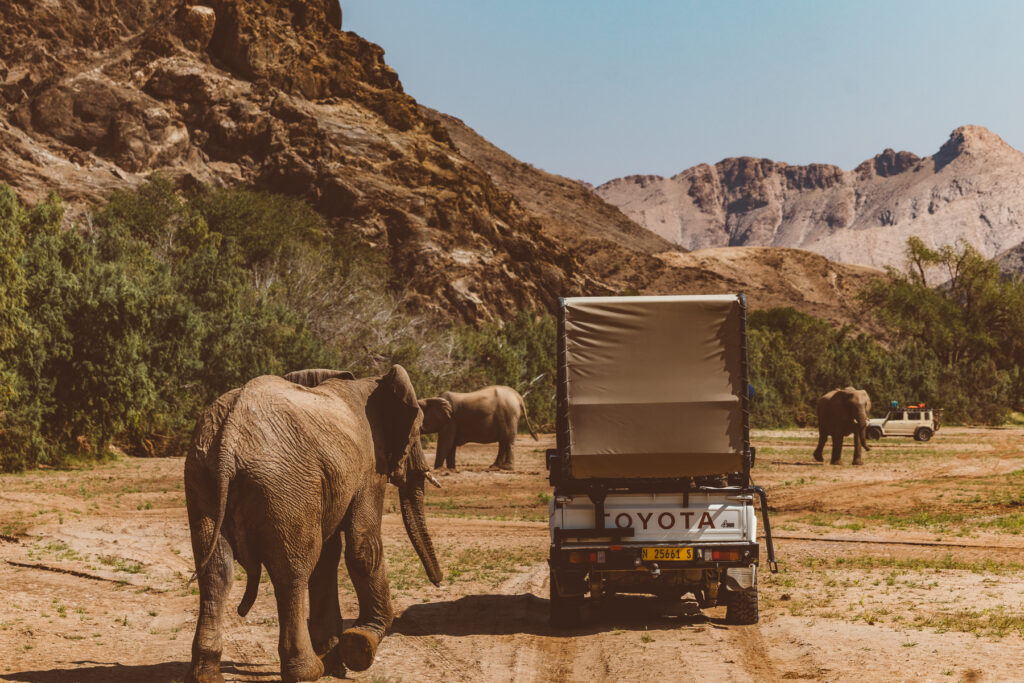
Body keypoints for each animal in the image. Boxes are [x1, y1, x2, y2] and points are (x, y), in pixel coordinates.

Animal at [184, 366, 443, 683]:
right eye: (417, 430)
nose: (438, 581)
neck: (370, 382)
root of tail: (227, 440)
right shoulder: (370, 465)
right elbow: (363, 545)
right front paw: (359, 646)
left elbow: (329, 556)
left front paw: (337, 661)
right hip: (283, 484)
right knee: (292, 571)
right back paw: (307, 671)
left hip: (202, 478)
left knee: (216, 572)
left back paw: (205, 674)